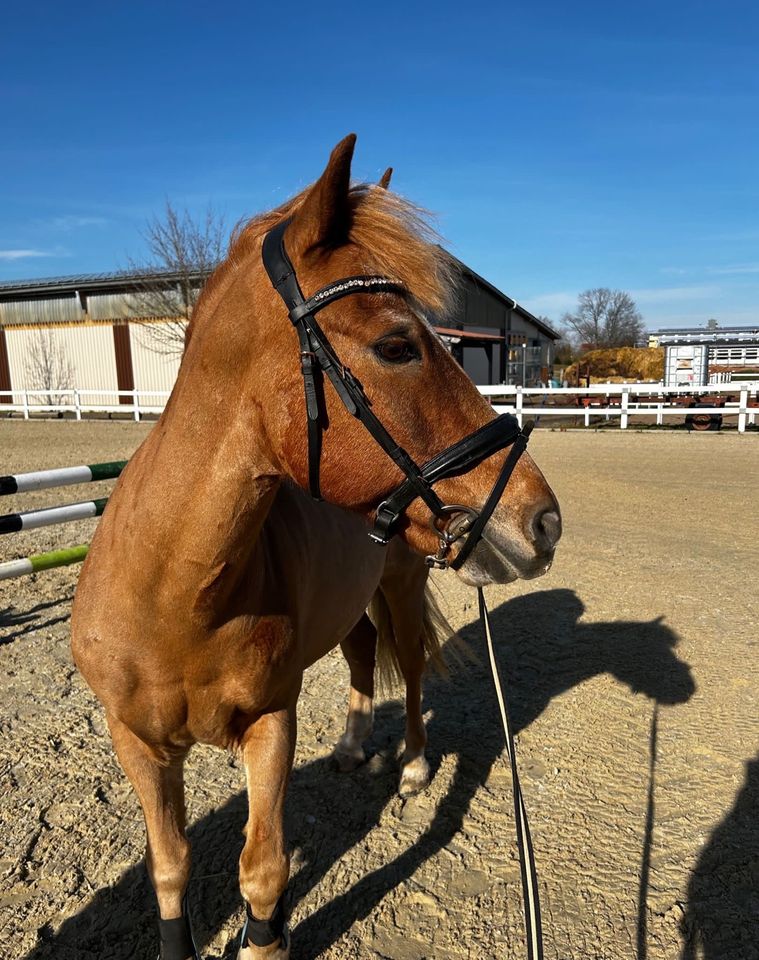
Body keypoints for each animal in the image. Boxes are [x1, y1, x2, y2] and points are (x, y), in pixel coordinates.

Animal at [71, 135, 560, 960]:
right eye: (396, 345)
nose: (543, 522)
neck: (172, 592)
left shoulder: (271, 725)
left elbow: (262, 867)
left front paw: (263, 941)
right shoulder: (135, 743)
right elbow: (169, 867)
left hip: (399, 585)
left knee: (410, 666)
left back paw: (411, 764)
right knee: (363, 651)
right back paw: (355, 746)